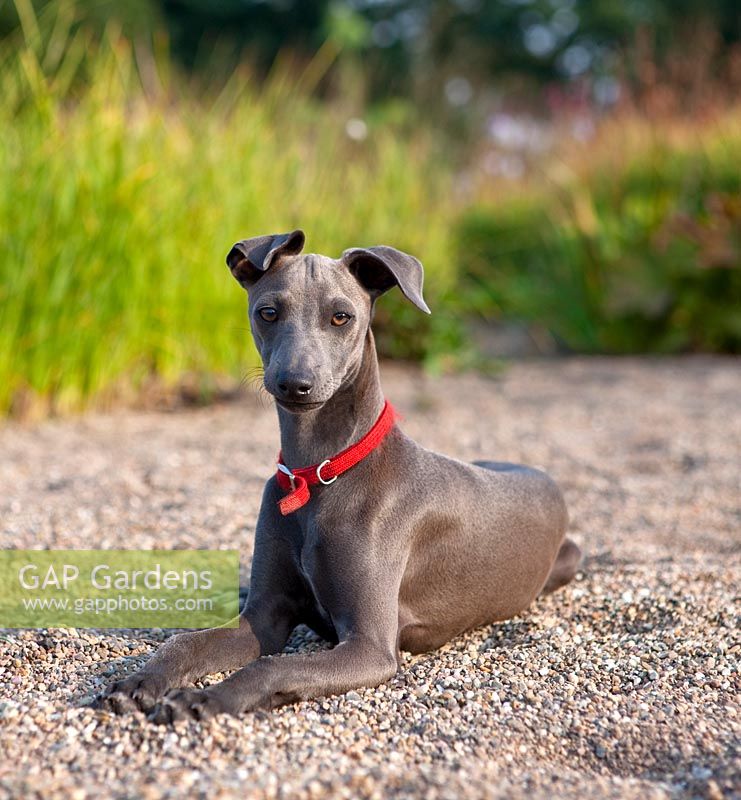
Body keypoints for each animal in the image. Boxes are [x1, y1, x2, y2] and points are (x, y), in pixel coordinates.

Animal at [97, 228, 580, 720]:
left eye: (341, 316)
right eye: (267, 312)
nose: (295, 383)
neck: (320, 472)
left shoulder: (371, 647)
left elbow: (273, 667)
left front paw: (206, 697)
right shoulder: (264, 618)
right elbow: (186, 644)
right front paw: (141, 681)